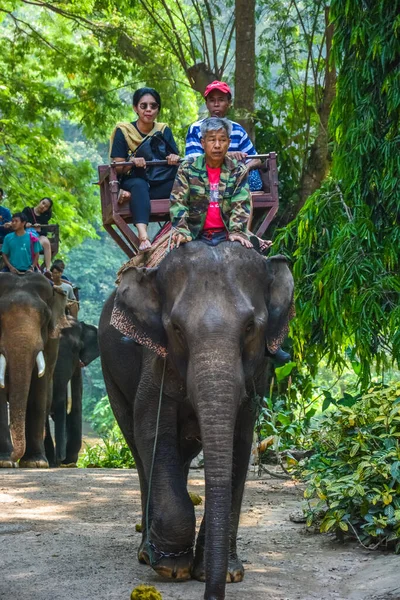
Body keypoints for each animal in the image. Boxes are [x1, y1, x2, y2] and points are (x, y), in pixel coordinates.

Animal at [0, 274, 67, 468]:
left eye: (45, 317)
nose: (14, 458)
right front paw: (4, 461)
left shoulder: (49, 345)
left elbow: (39, 386)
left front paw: (36, 463)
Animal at [44, 316, 99, 466]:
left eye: (76, 348)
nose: (59, 459)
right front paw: (50, 461)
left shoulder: (77, 370)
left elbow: (75, 405)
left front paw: (69, 460)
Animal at [99, 243, 294, 600]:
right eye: (176, 328)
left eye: (250, 327)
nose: (213, 594)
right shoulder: (154, 361)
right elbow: (151, 430)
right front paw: (172, 568)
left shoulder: (258, 377)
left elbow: (240, 442)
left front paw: (227, 573)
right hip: (110, 374)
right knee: (138, 449)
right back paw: (147, 553)